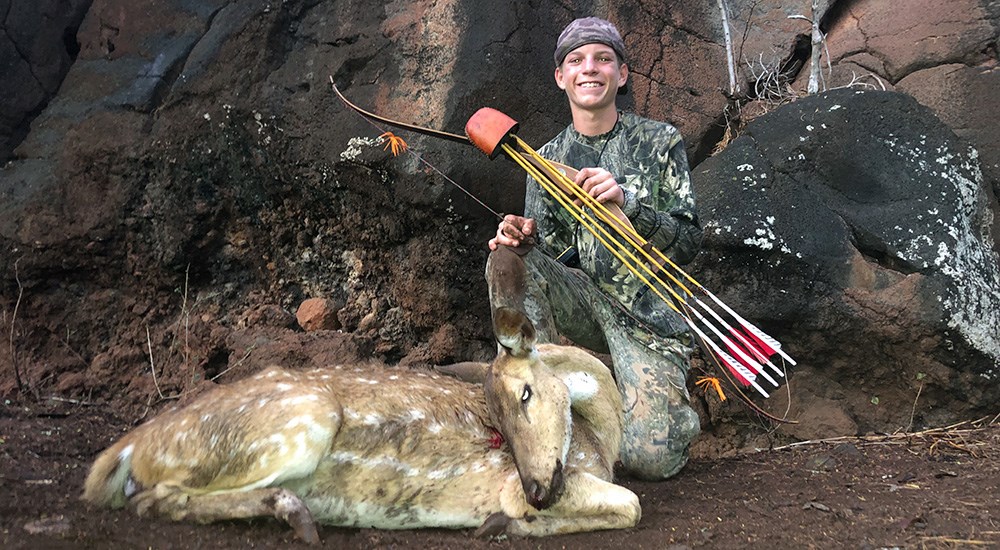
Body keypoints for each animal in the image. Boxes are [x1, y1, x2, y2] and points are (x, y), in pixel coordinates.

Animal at [80, 308, 640, 540]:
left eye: (524, 394)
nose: (538, 491)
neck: (599, 442)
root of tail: (129, 448)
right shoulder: (509, 481)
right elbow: (631, 505)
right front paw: (505, 524)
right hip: (300, 421)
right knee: (155, 498)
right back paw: (295, 514)